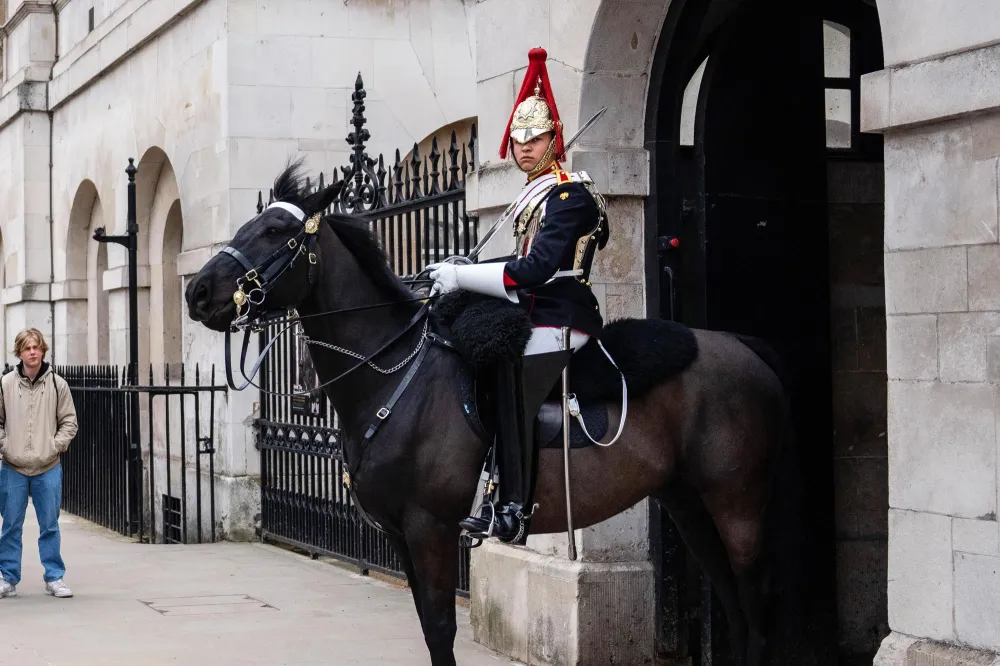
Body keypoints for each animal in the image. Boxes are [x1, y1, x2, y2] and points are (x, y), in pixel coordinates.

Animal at [184, 162, 797, 666]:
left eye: (275, 232)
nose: (198, 292)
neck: (391, 372)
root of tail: (742, 346)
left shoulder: (430, 528)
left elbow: (439, 630)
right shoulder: (402, 536)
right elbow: (429, 627)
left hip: (736, 501)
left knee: (758, 606)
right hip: (688, 500)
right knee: (734, 605)